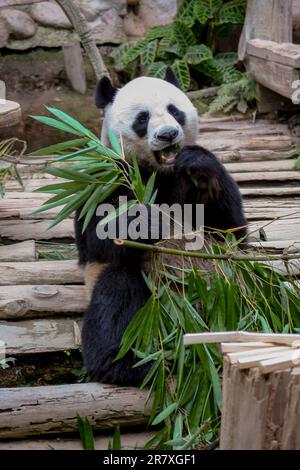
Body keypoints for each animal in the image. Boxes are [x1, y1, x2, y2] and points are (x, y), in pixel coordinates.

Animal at [74, 69, 246, 386]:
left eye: (174, 110)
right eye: (142, 118)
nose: (168, 134)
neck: (158, 173)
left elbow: (230, 232)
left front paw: (199, 165)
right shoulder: (102, 178)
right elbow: (97, 233)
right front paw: (147, 222)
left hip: (228, 289)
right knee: (116, 295)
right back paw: (124, 363)